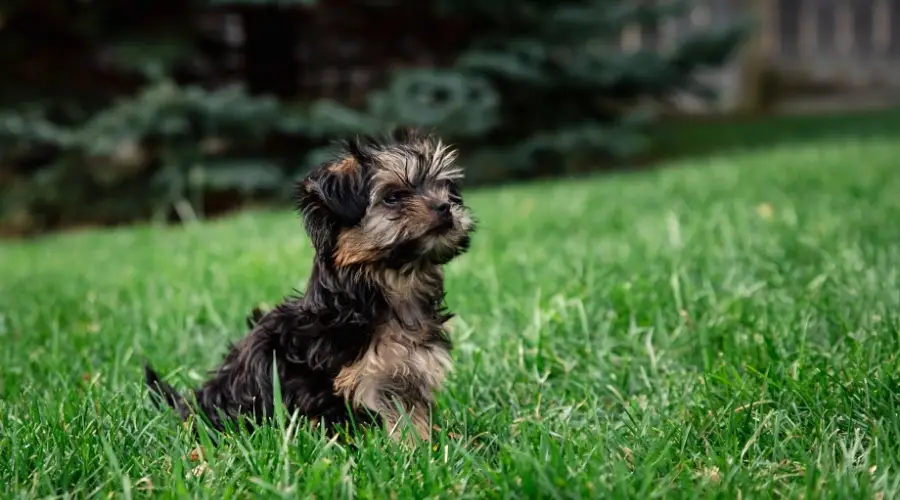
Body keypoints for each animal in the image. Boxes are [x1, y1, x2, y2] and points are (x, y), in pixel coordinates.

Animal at [144, 128, 474, 442]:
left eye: (445, 190)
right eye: (393, 197)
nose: (445, 207)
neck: (394, 285)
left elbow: (411, 418)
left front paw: (423, 445)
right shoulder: (355, 383)